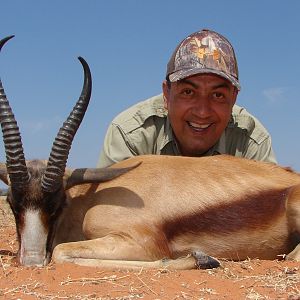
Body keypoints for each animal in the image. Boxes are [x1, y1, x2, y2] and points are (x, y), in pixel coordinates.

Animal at [0, 35, 300, 270]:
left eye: (56, 204)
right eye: (12, 204)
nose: (31, 261)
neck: (90, 197)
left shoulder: (141, 243)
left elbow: (61, 253)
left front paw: (201, 258)